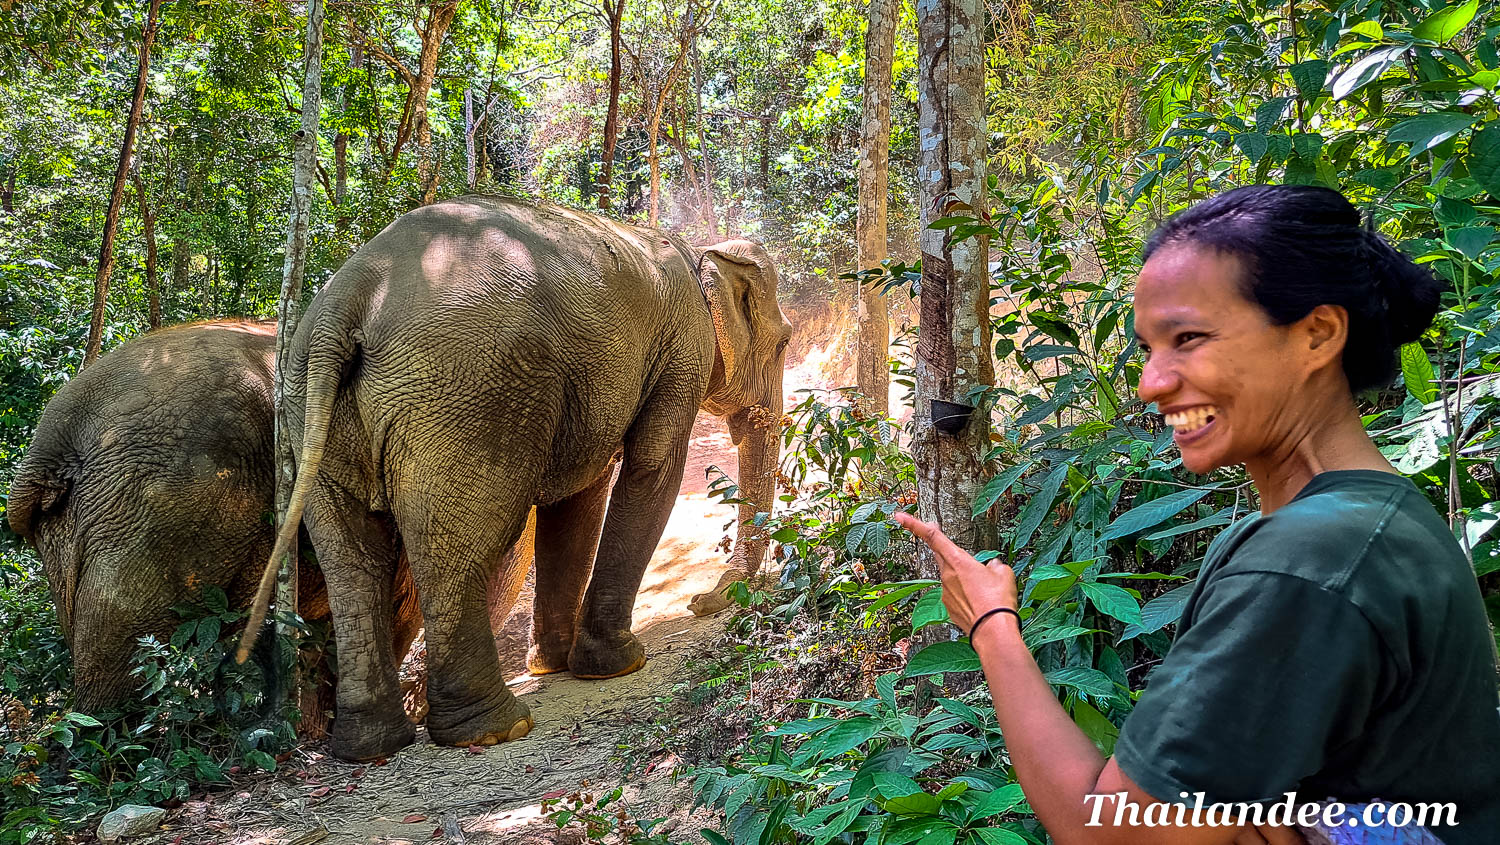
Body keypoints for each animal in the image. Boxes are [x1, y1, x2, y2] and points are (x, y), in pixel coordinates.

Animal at [238, 196, 792, 759]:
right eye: (785, 343)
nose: (703, 603)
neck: (701, 252)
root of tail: (346, 300)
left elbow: (579, 497)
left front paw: (552, 665)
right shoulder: (682, 350)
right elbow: (651, 468)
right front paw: (619, 664)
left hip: (308, 410)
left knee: (353, 563)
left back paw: (371, 745)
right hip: (467, 397)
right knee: (454, 550)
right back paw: (495, 729)